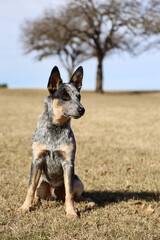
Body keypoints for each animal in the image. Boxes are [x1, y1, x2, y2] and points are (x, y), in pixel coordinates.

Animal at [17, 66, 91, 218]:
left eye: (79, 96)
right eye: (65, 96)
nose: (82, 109)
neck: (55, 127)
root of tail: (54, 193)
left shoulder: (68, 163)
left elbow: (69, 193)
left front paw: (71, 212)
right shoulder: (37, 160)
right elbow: (30, 188)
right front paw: (25, 207)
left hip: (77, 180)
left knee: (75, 195)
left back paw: (88, 201)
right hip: (41, 183)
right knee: (36, 193)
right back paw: (35, 201)